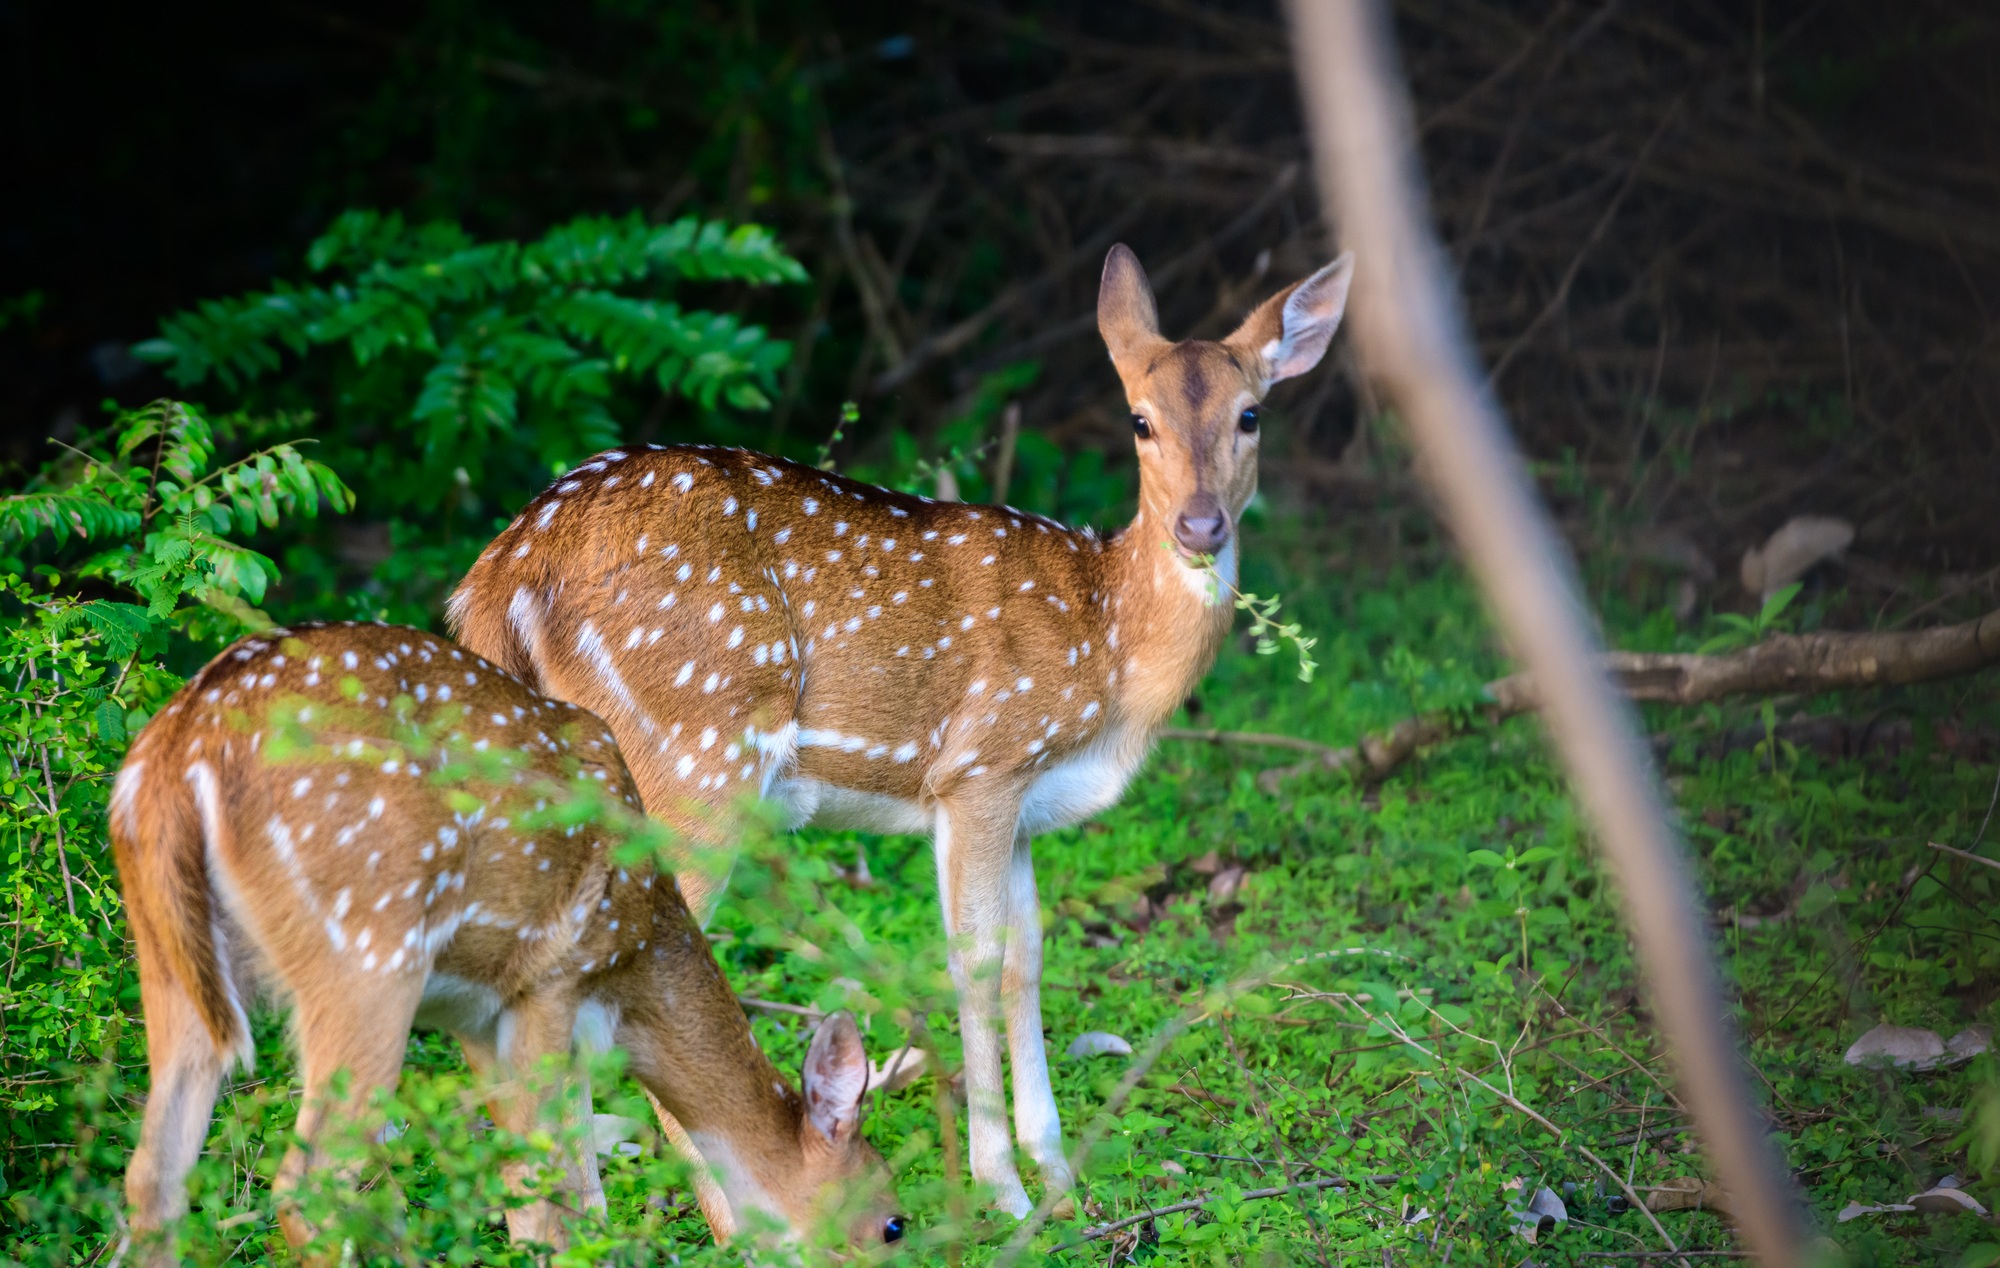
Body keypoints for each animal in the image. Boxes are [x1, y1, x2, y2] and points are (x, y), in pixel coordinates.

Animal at [111, 621, 904, 1264]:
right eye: (894, 1224)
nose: (906, 1233)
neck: (639, 956)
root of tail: (181, 756)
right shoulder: (551, 979)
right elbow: (553, 1199)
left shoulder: (474, 1015)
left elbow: (541, 1192)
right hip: (367, 948)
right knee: (310, 1188)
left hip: (170, 958)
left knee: (153, 1179)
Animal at [445, 243, 1355, 1216]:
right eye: (1139, 421)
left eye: (1251, 414)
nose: (1200, 524)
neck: (1109, 648)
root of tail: (499, 577)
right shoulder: (981, 765)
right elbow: (973, 963)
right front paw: (1005, 1190)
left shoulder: (1023, 805)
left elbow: (1029, 958)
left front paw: (1059, 1174)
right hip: (693, 754)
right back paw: (727, 1221)